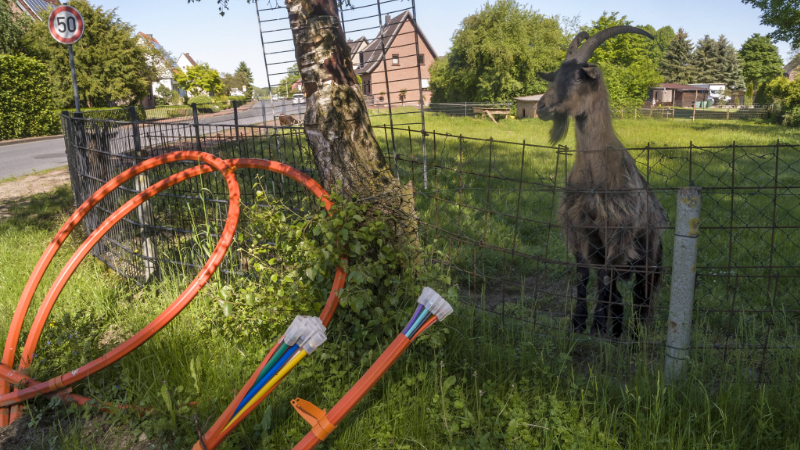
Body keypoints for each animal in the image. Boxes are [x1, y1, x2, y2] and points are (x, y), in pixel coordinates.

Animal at [536, 27, 668, 338]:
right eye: (555, 75)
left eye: (576, 77)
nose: (541, 106)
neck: (596, 175)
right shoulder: (581, 227)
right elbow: (585, 273)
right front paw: (579, 323)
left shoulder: (616, 231)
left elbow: (606, 277)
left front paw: (596, 325)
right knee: (620, 295)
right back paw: (617, 329)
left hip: (649, 261)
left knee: (642, 298)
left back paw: (634, 335)